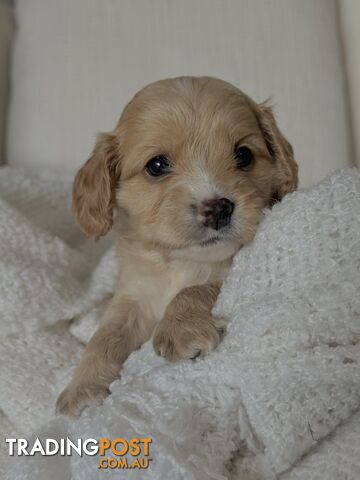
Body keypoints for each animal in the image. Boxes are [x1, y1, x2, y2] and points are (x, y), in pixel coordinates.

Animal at [56, 75, 298, 416]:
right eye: (157, 165)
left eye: (244, 155)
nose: (218, 208)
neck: (181, 262)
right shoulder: (133, 295)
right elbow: (106, 334)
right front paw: (82, 386)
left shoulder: (235, 270)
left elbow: (197, 289)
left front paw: (181, 329)